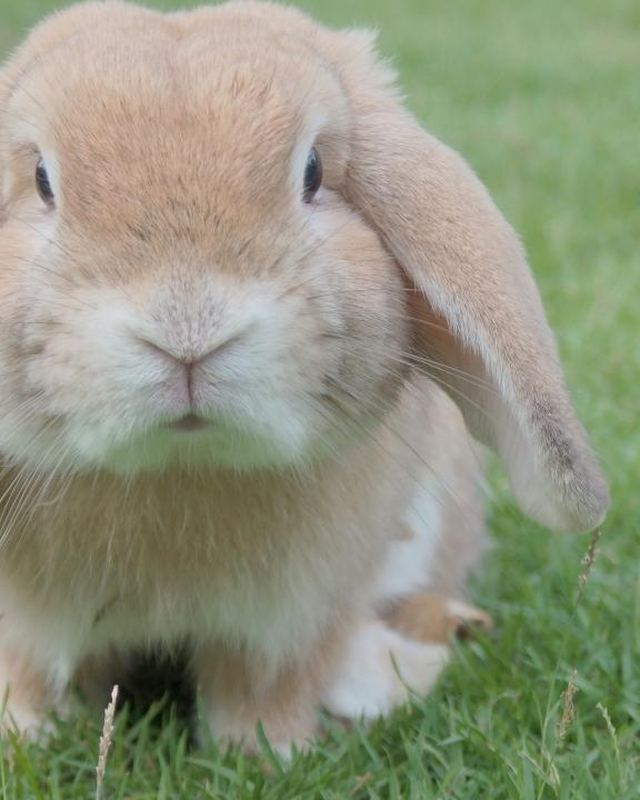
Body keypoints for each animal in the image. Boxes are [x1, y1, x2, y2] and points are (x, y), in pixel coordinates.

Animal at [0, 1, 608, 754]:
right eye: (41, 180)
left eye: (313, 173)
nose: (187, 329)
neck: (179, 468)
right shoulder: (29, 623)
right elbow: (32, 675)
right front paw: (25, 736)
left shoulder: (291, 620)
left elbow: (262, 690)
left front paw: (270, 755)